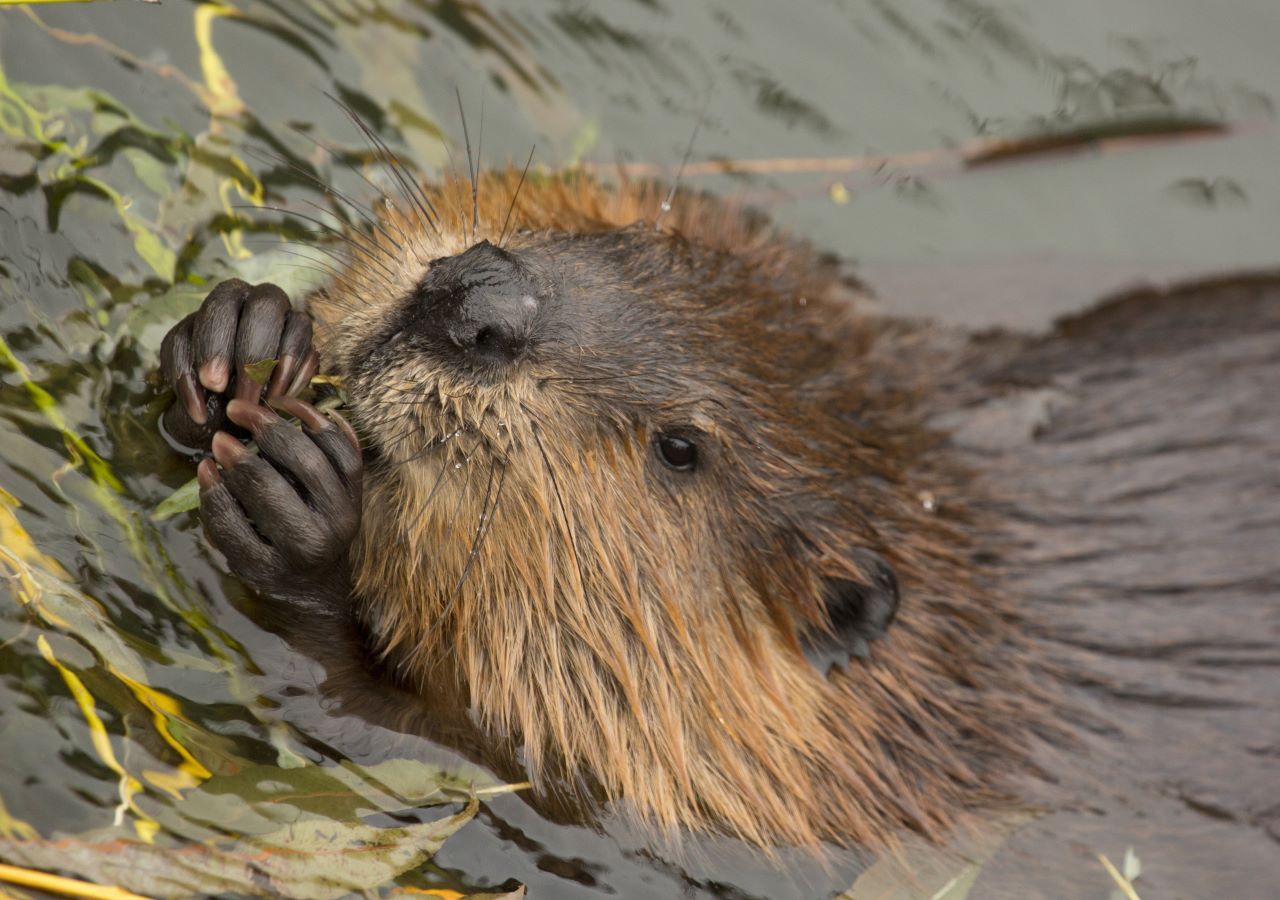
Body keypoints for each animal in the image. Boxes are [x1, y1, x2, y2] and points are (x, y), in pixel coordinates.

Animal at [152, 161, 1280, 865]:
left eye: (680, 448)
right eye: (621, 238)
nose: (476, 302)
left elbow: (425, 749)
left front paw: (301, 505)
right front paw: (241, 335)